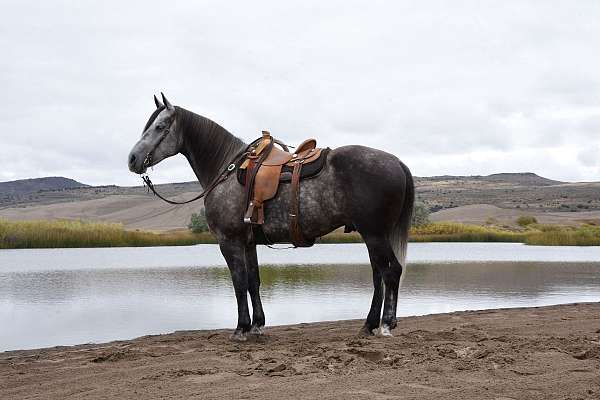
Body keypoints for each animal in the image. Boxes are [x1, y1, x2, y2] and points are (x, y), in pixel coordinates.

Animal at [129, 94, 414, 340]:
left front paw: (241, 328)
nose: (132, 159)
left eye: (160, 126)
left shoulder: (229, 241)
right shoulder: (248, 243)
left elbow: (239, 282)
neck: (227, 170)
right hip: (372, 235)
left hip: (374, 234)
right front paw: (257, 325)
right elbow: (253, 281)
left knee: (391, 271)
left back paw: (386, 324)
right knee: (378, 275)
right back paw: (369, 324)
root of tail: (397, 162)